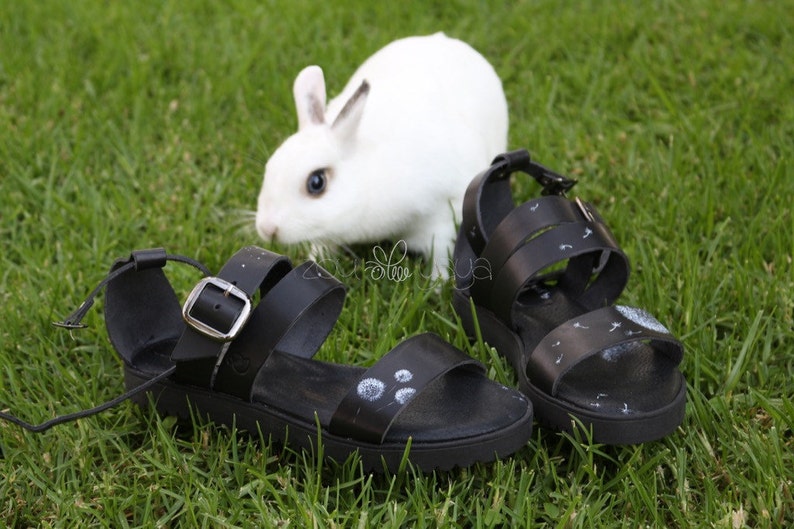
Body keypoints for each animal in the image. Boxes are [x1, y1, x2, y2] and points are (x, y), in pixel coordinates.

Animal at [255, 32, 508, 279]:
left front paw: (437, 284)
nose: (267, 228)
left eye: (316, 182)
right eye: (269, 167)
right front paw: (311, 264)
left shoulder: (442, 217)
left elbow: (441, 256)